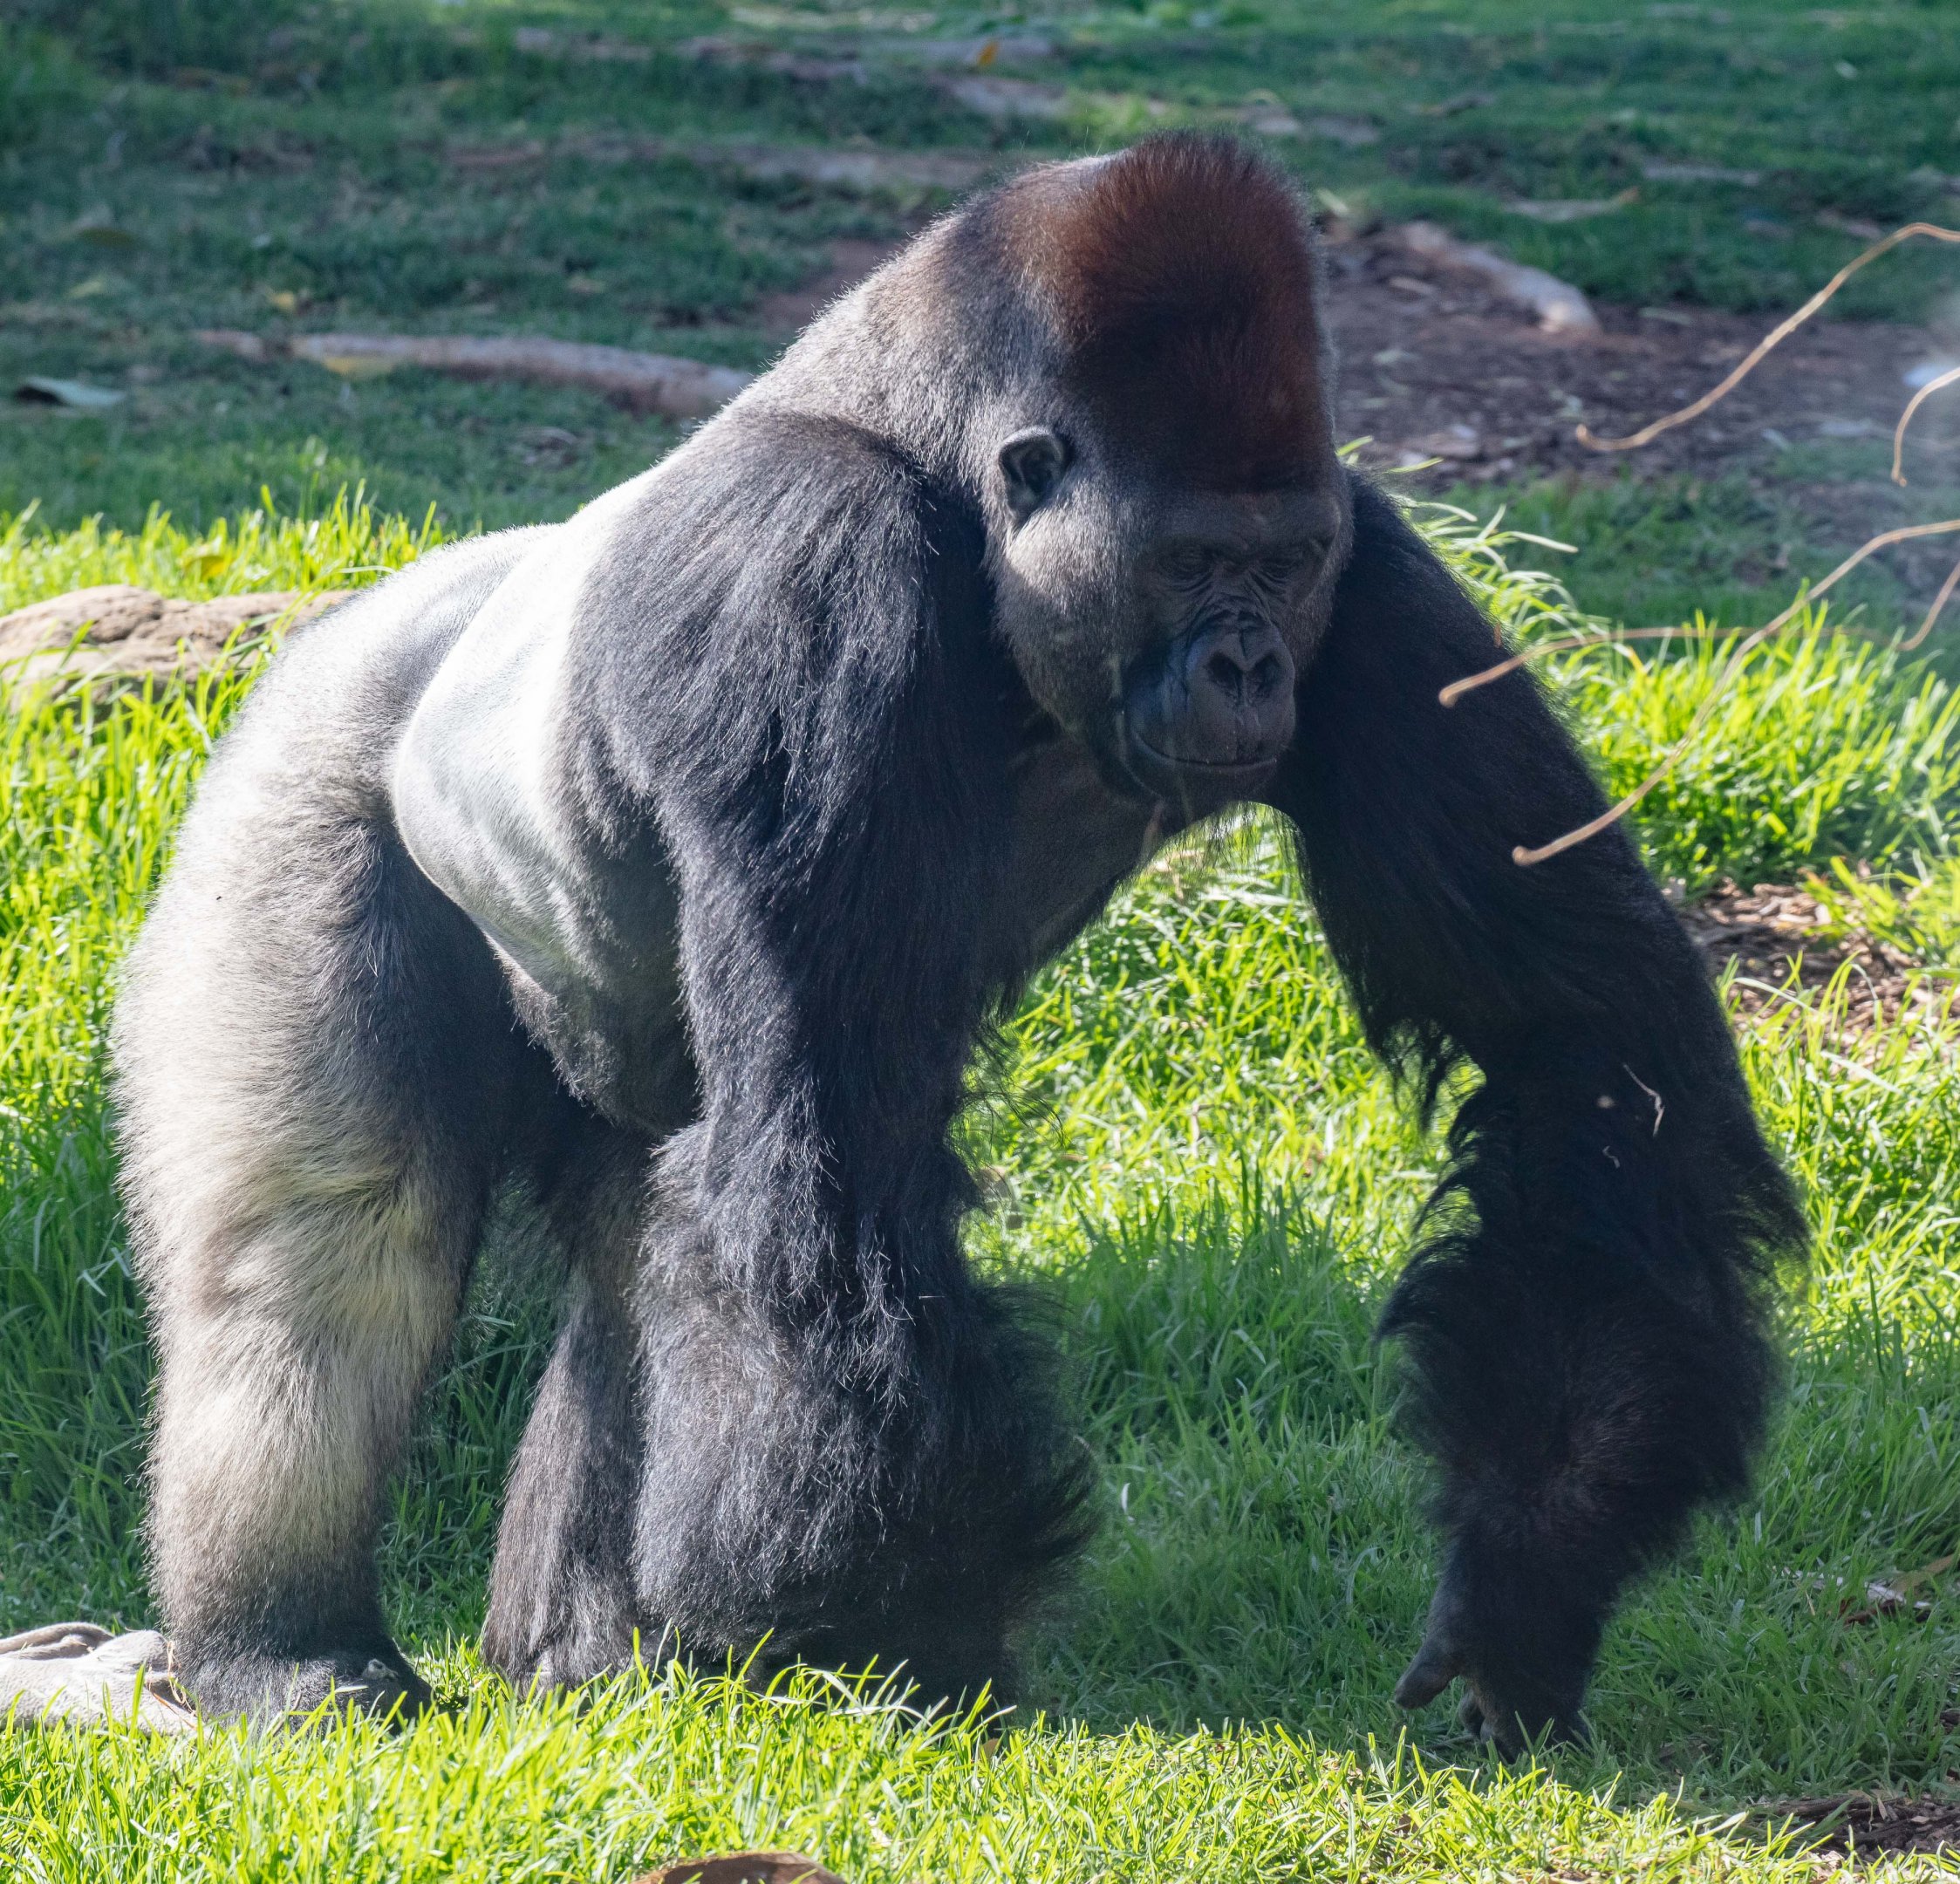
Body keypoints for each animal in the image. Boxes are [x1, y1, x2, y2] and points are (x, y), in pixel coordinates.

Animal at [112, 134, 1802, 1749]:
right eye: (1190, 563)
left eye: (1278, 562)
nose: (1253, 665)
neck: (938, 471)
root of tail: (376, 608)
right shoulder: (811, 565)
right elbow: (839, 1163)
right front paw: (920, 1634)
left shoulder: (1372, 582)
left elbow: (1572, 1054)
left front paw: (1533, 1555)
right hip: (301, 767)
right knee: (324, 1256)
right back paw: (282, 1647)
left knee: (626, 1236)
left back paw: (579, 1655)